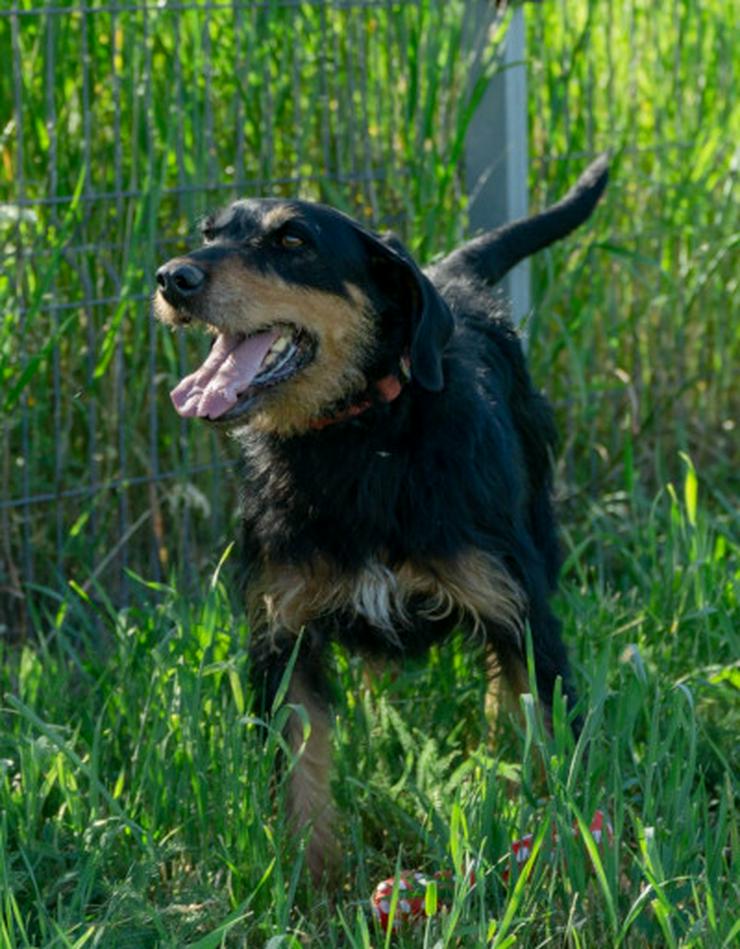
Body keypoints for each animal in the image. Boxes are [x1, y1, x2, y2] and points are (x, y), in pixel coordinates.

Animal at [155, 157, 608, 880]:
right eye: (208, 232)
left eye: (293, 240)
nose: (174, 277)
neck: (361, 438)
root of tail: (452, 274)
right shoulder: (283, 633)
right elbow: (301, 775)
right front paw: (310, 884)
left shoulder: (522, 611)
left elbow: (549, 741)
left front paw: (564, 855)